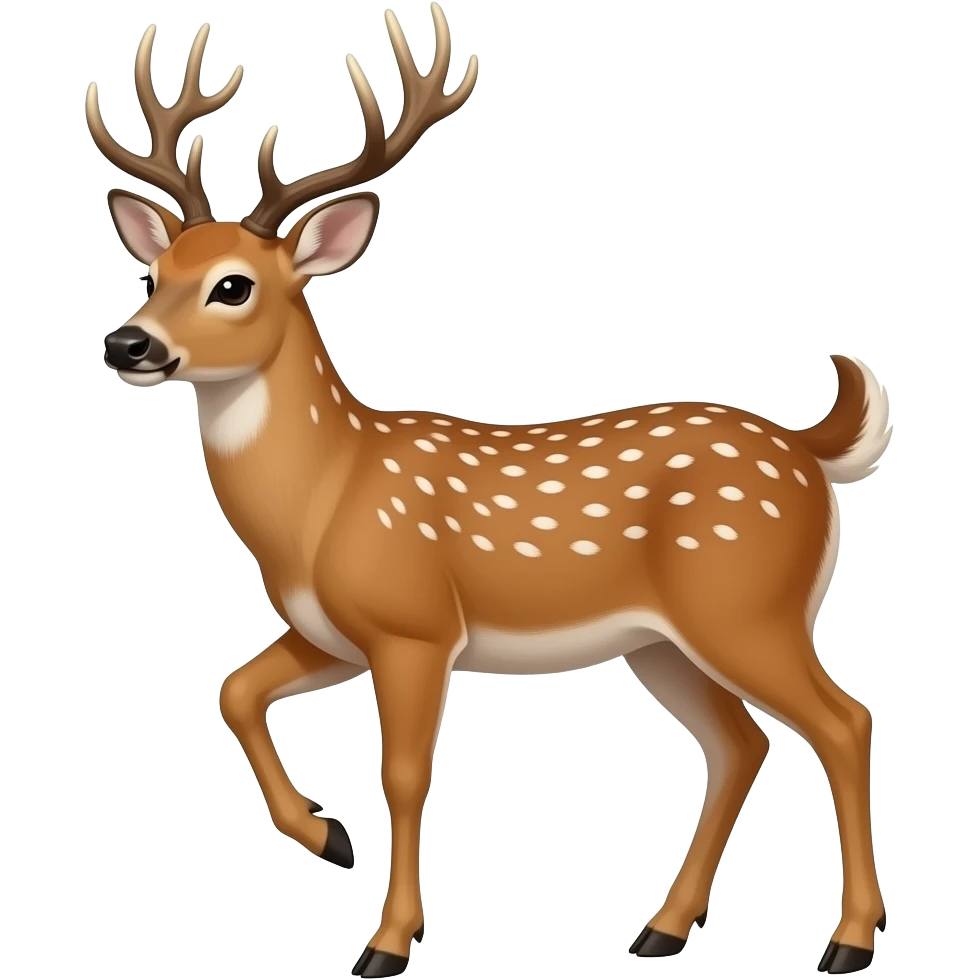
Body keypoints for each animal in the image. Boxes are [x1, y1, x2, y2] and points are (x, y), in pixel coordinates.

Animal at [87, 10, 891, 978]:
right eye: (154, 274)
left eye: (232, 285)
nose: (127, 344)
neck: (324, 500)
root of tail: (809, 452)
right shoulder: (330, 630)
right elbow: (233, 690)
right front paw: (327, 836)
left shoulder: (415, 624)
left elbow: (403, 776)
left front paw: (387, 942)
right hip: (663, 641)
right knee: (740, 743)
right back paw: (660, 930)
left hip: (746, 603)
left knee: (843, 722)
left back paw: (848, 941)